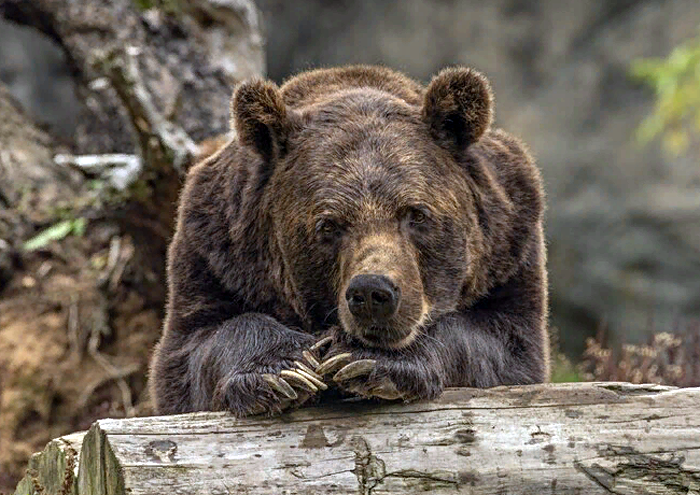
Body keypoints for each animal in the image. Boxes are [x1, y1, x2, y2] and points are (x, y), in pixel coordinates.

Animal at [149, 64, 552, 416]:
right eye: (328, 225)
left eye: (416, 214)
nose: (372, 292)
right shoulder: (216, 251)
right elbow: (193, 348)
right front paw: (285, 369)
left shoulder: (509, 247)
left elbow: (503, 345)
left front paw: (367, 360)